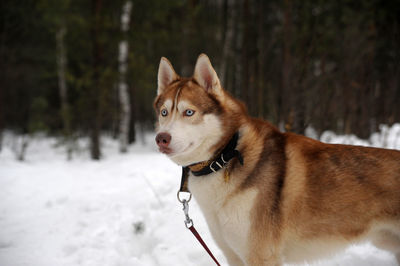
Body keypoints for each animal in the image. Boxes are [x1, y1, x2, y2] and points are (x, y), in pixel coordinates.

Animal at [153, 53, 400, 264]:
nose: (161, 138)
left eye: (189, 112)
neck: (225, 155)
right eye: (164, 112)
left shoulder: (260, 255)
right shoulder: (233, 255)